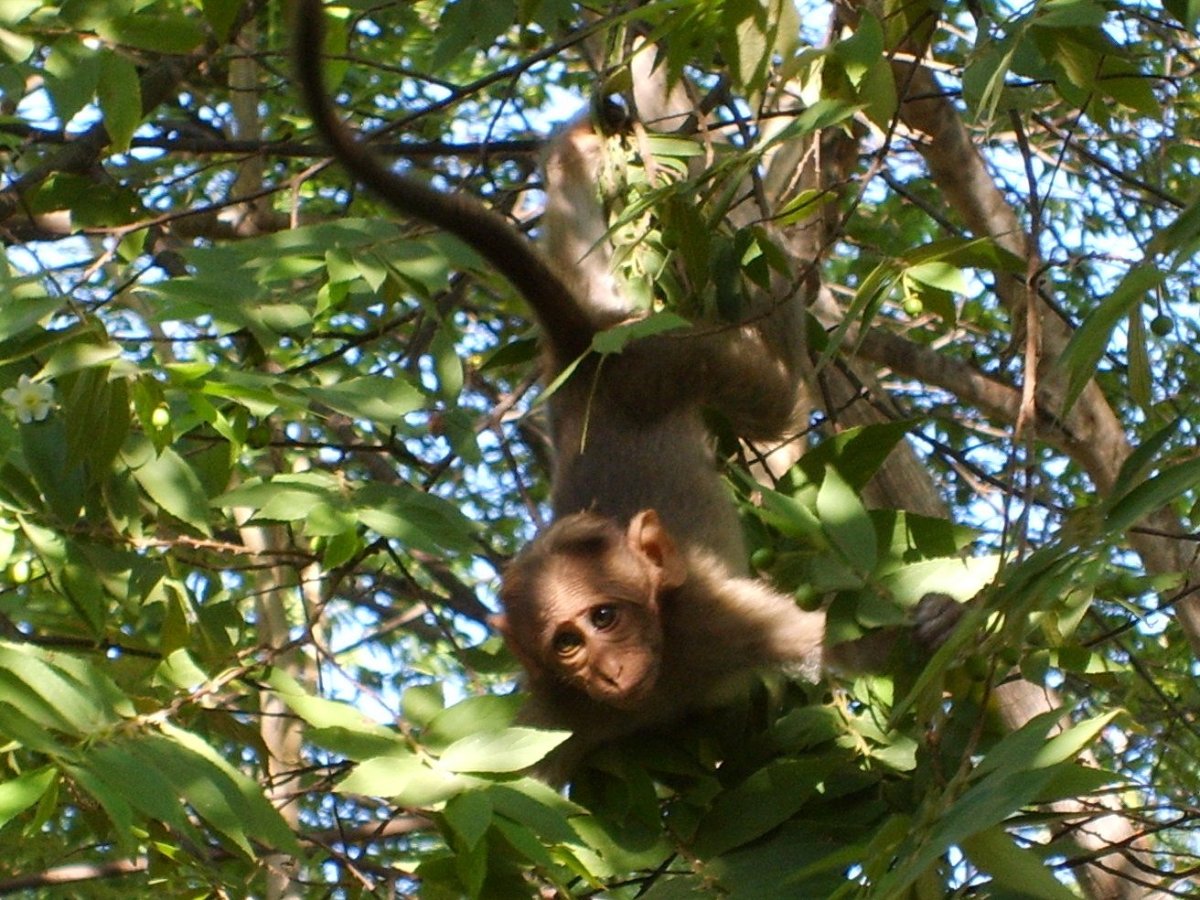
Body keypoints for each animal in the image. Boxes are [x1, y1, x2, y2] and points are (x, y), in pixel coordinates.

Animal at [293, 2, 961, 781]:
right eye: (568, 642)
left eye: (606, 616)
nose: (610, 671)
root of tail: (586, 349)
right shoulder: (558, 714)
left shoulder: (720, 624)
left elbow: (845, 646)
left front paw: (934, 625)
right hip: (624, 341)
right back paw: (580, 150)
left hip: (666, 356)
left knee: (778, 398)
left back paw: (778, 245)